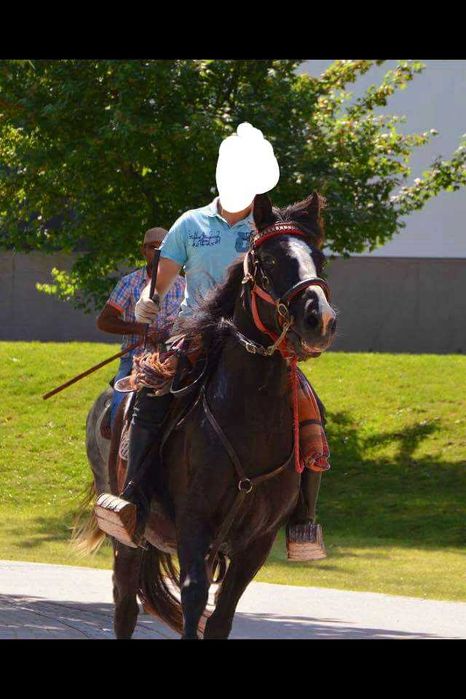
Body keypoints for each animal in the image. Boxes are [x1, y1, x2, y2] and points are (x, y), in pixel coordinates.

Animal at [75, 190, 336, 639]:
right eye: (267, 261)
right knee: (125, 602)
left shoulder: (257, 542)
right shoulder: (194, 524)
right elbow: (194, 598)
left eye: (317, 259)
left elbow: (220, 616)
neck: (248, 418)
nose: (319, 319)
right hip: (127, 535)